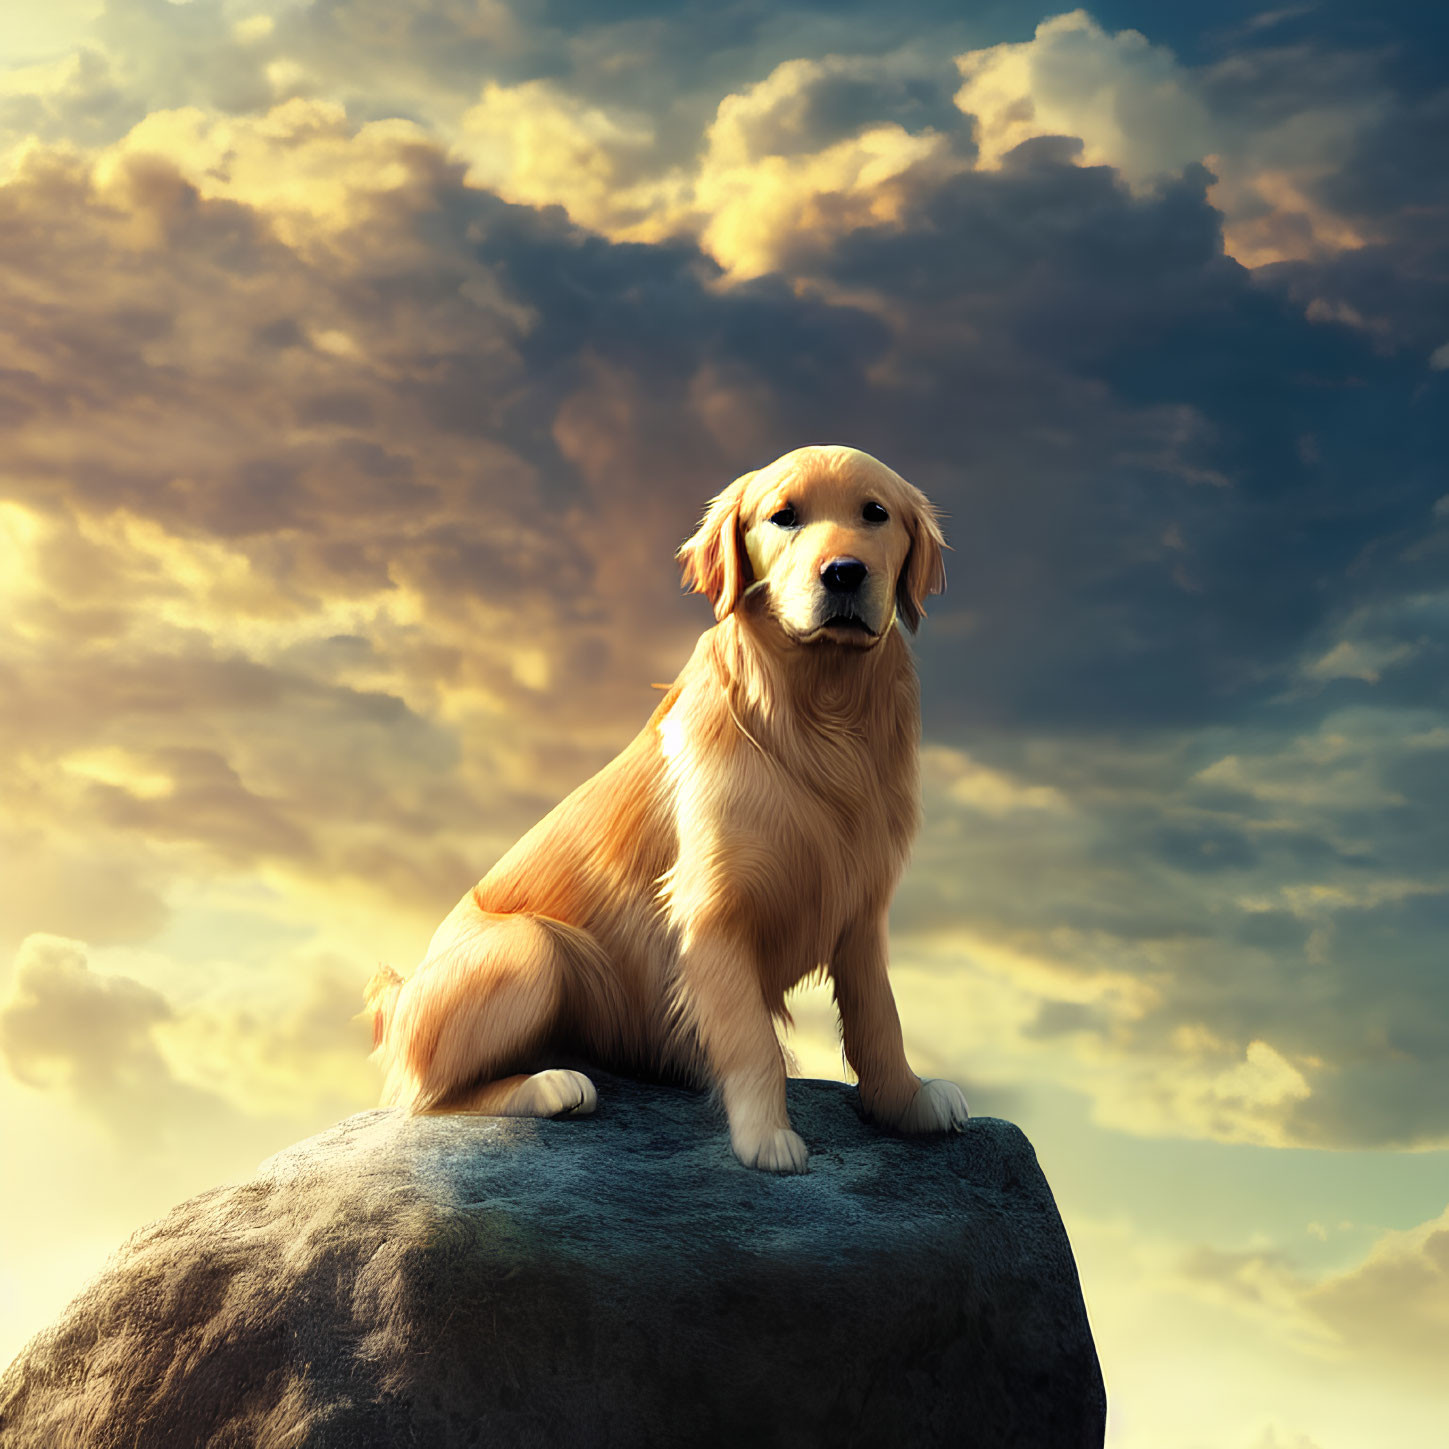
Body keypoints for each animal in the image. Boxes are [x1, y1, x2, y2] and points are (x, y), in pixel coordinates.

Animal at [368, 446, 967, 1170]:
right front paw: (766, 1139)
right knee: (427, 1098)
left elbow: (879, 1017)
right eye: (784, 516)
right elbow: (752, 1040)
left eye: (875, 513)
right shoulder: (712, 911)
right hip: (535, 948)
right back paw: (551, 1084)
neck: (823, 710)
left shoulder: (862, 907)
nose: (845, 572)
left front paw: (907, 1102)